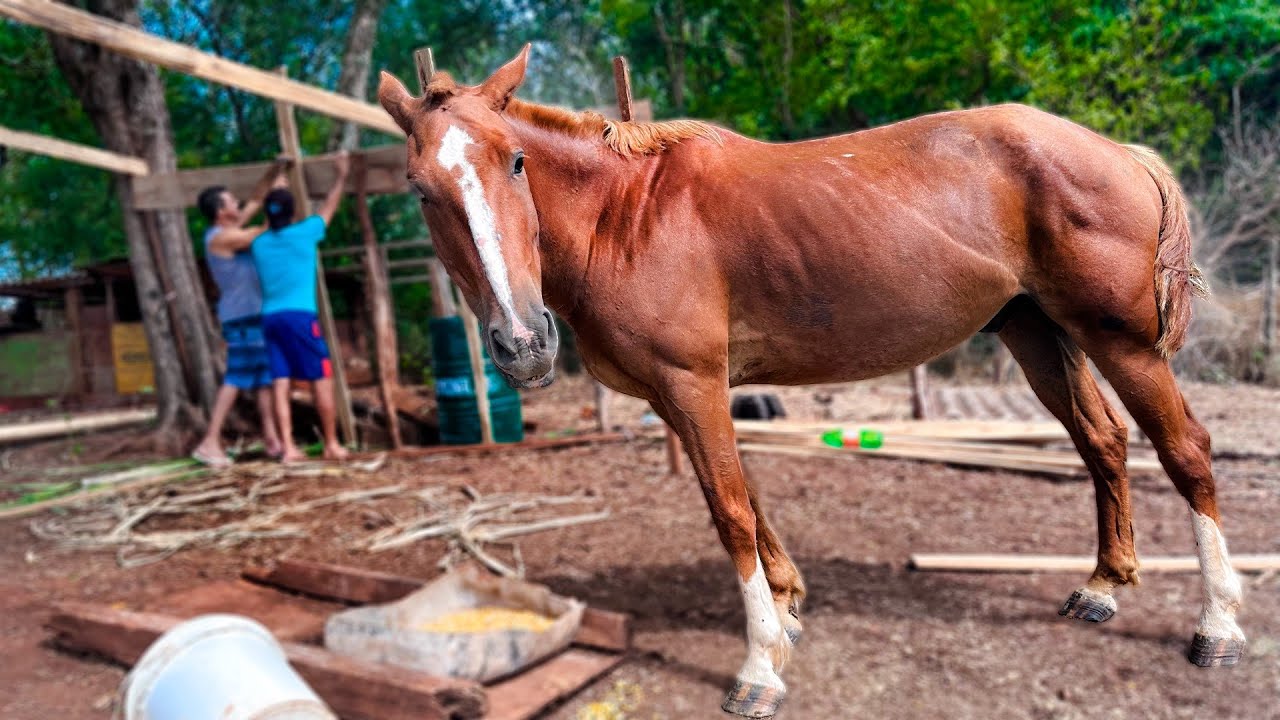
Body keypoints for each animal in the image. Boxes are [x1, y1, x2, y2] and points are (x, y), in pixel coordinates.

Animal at [377, 46, 1245, 718]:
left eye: (516, 162)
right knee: (1103, 441)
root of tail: (1119, 152)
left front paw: (760, 665)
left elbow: (729, 512)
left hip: (1123, 344)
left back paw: (1219, 627)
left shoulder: (691, 384)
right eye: (421, 190)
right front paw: (788, 609)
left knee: (1186, 450)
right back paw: (1104, 586)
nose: (523, 343)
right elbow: (746, 496)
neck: (624, 215)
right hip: (1040, 334)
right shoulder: (684, 395)